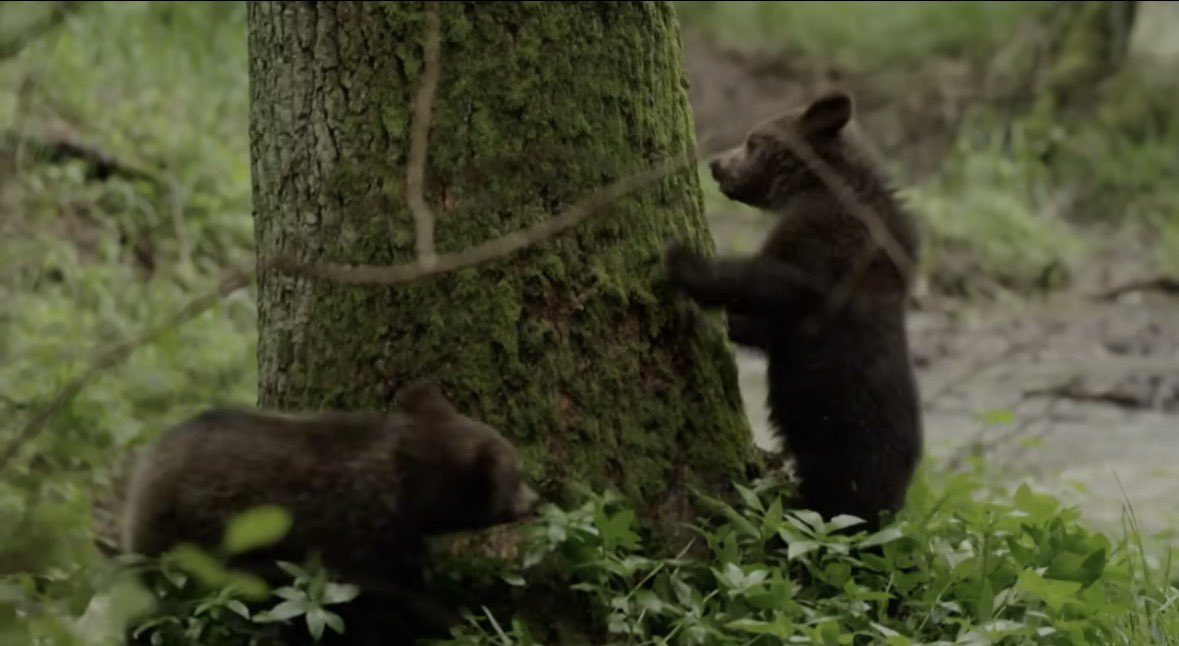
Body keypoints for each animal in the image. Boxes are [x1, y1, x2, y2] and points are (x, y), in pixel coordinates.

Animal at [119, 380, 539, 645]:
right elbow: (383, 605)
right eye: (517, 472)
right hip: (181, 543)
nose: (536, 500)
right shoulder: (360, 540)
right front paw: (460, 621)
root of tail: (148, 458)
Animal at [664, 89, 923, 532]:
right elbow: (767, 324)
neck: (818, 184)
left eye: (753, 141)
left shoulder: (824, 245)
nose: (715, 165)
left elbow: (766, 279)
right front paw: (727, 324)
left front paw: (682, 261)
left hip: (841, 446)